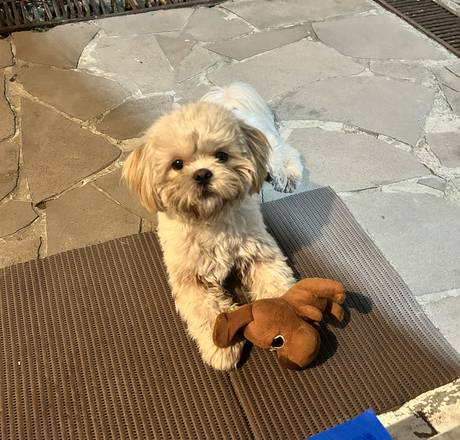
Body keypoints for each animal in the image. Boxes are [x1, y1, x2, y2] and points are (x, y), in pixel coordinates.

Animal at [123, 83, 302, 370]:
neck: (211, 219)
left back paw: (288, 174)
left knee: (283, 151)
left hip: (269, 145)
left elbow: (275, 281)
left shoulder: (260, 252)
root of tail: (227, 95)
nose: (203, 174)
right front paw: (220, 347)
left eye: (221, 156)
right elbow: (205, 310)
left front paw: (289, 315)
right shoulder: (189, 277)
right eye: (177, 164)